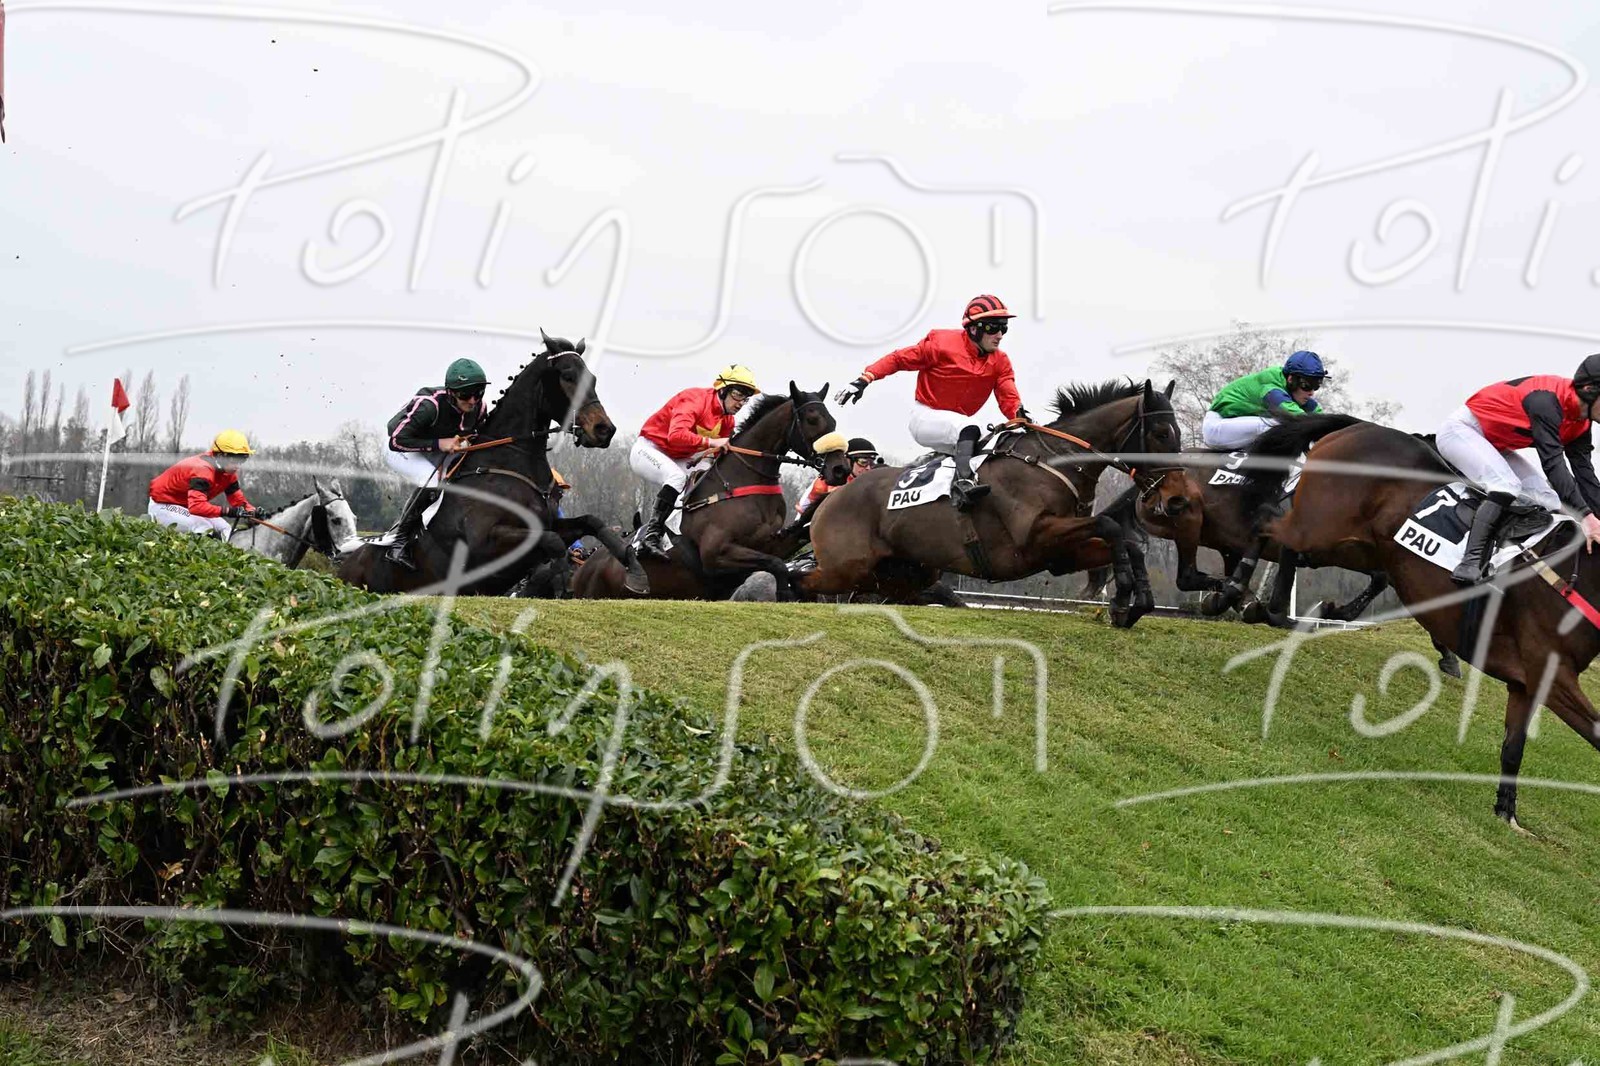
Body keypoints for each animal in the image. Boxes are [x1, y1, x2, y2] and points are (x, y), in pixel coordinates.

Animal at [337, 333, 629, 596]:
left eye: (593, 379)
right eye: (567, 376)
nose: (604, 430)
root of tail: (342, 567)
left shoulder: (550, 522)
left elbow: (590, 522)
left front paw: (630, 562)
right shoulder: (483, 543)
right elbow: (552, 541)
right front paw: (560, 577)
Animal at [571, 383, 849, 601]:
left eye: (834, 421)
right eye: (812, 420)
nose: (840, 469)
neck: (741, 480)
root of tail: (587, 566)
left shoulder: (771, 543)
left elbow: (787, 551)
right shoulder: (716, 554)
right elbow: (777, 565)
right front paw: (784, 593)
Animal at [798, 379, 1194, 628]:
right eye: (1161, 434)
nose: (1176, 498)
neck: (1053, 463)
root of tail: (832, 498)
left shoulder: (1059, 554)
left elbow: (1126, 542)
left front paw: (1134, 604)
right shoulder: (1036, 536)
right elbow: (1111, 526)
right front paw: (1124, 591)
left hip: (902, 577)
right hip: (846, 569)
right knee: (801, 581)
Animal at [1229, 413, 1600, 827]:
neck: (1573, 580)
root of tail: (1359, 426)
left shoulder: (1527, 682)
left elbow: (1513, 747)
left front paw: (1507, 814)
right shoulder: (1554, 676)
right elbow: (1596, 734)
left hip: (1355, 543)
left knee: (1302, 551)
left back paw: (1288, 609)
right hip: (1323, 524)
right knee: (1268, 524)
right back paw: (1238, 594)